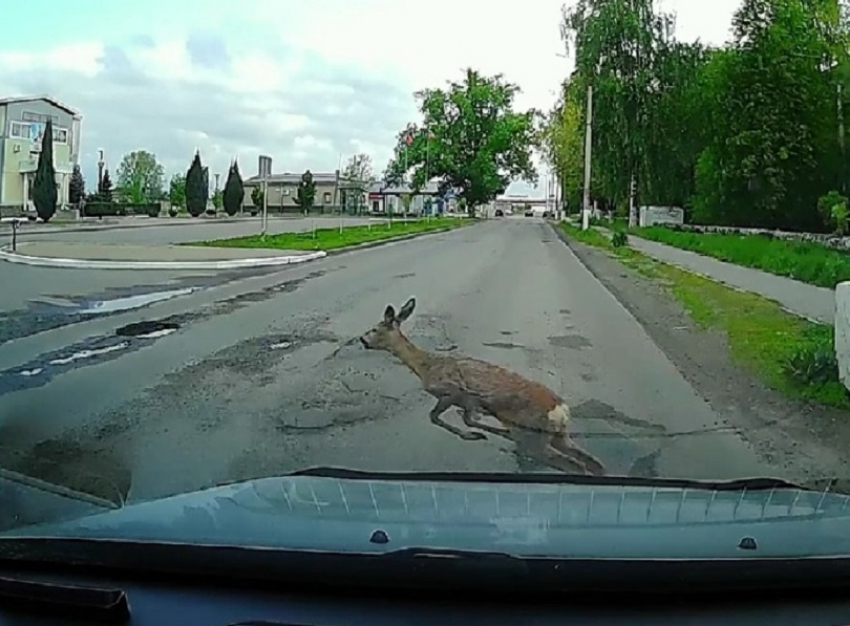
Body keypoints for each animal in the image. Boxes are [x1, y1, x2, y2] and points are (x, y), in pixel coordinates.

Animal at [358, 298, 604, 472]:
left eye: (374, 329)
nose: (362, 339)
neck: (426, 367)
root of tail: (560, 410)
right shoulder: (469, 402)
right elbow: (468, 419)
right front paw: (483, 433)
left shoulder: (452, 392)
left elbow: (435, 417)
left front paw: (474, 435)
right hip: (559, 436)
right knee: (592, 462)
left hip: (535, 437)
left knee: (574, 464)